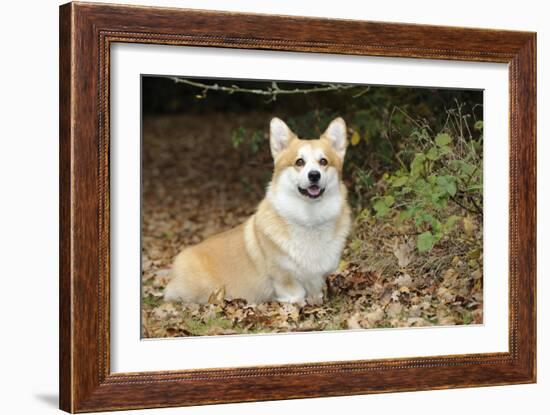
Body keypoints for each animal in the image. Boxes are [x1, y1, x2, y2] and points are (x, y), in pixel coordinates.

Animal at [165, 117, 354, 306]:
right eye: (299, 162)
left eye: (323, 162)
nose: (314, 175)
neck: (309, 218)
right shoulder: (284, 278)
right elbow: (295, 296)